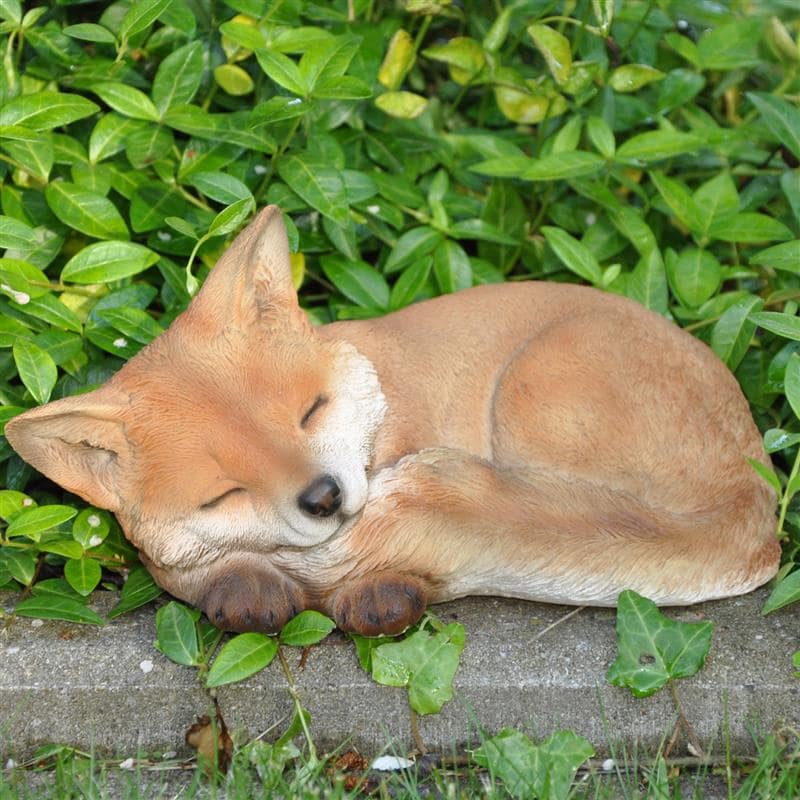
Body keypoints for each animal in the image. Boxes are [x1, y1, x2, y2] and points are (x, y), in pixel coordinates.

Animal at [5, 205, 781, 637]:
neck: (391, 407)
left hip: (533, 393)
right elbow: (208, 575)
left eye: (310, 411)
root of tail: (758, 514)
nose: (324, 498)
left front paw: (380, 592)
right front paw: (249, 588)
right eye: (224, 493)